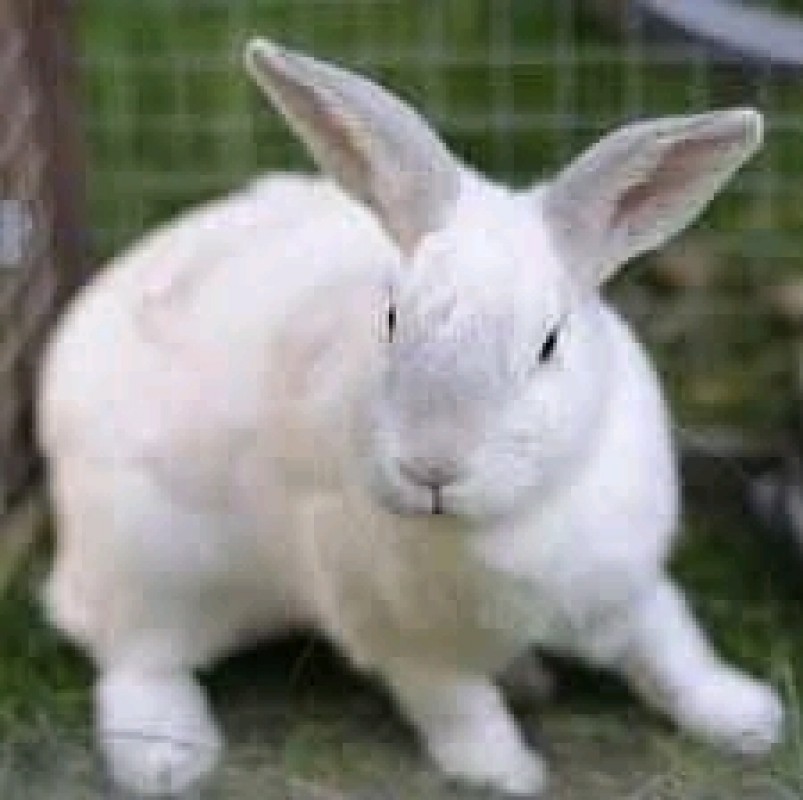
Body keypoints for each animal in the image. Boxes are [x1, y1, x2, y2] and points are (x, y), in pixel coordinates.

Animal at [37, 37, 784, 797]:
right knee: (136, 658)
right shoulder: (405, 642)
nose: (432, 468)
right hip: (152, 565)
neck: (503, 523)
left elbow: (673, 649)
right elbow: (457, 708)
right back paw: (166, 758)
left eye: (548, 344)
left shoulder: (624, 587)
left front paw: (747, 719)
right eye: (391, 318)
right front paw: (505, 773)